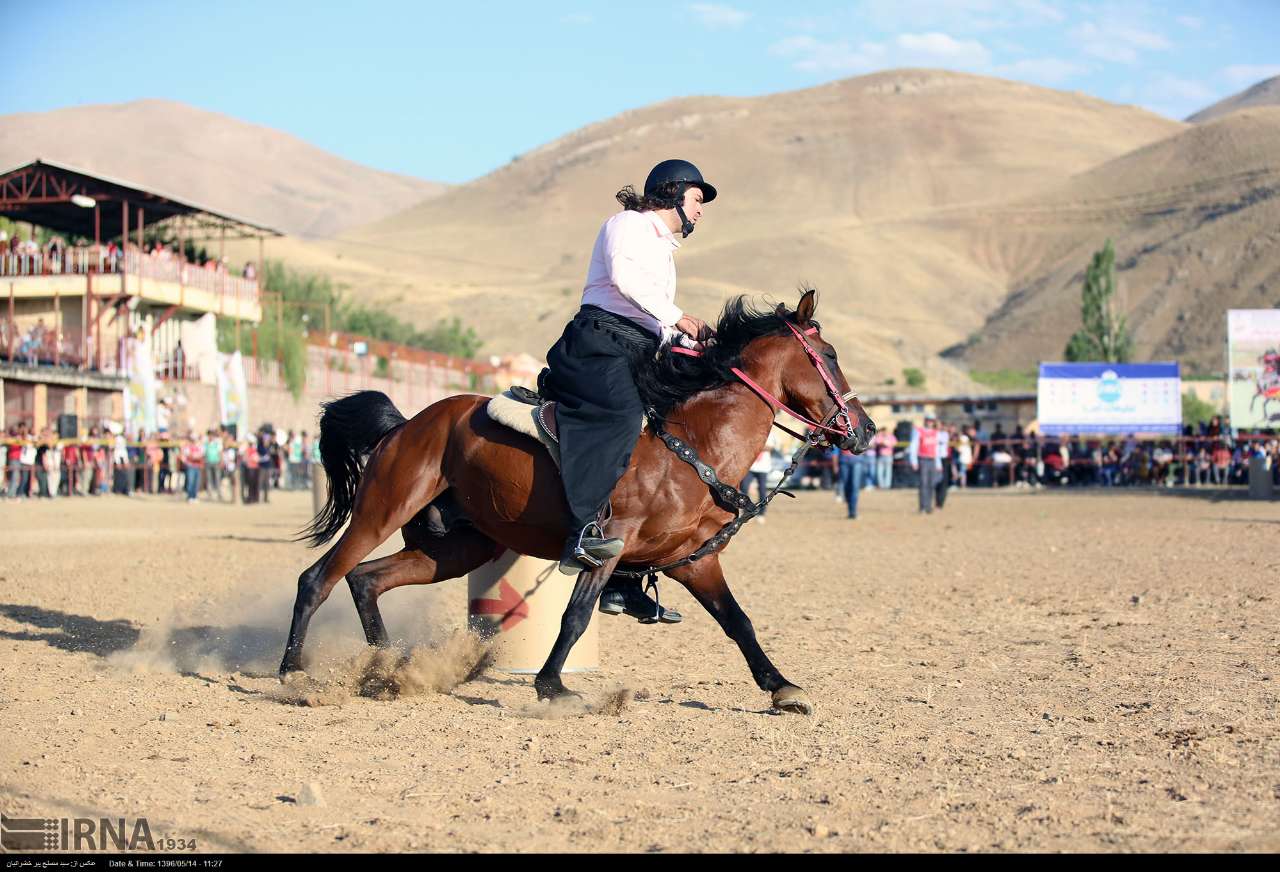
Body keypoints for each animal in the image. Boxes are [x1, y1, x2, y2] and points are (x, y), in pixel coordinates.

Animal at [284, 289, 875, 711]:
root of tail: (406, 425)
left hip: (454, 548)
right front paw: (551, 685)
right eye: (828, 355)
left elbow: (738, 622)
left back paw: (386, 668)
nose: (866, 430)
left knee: (366, 580)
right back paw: (293, 674)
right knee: (318, 578)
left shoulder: (695, 561)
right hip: (381, 510)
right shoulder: (604, 547)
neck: (693, 441)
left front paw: (781, 686)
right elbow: (575, 617)